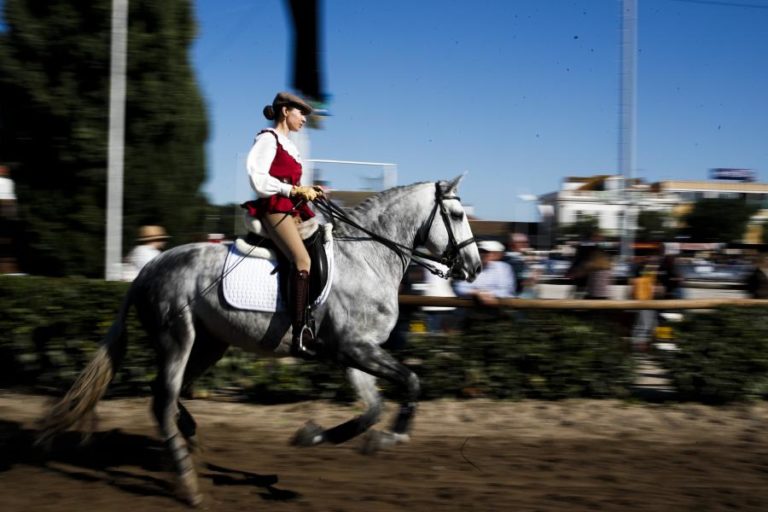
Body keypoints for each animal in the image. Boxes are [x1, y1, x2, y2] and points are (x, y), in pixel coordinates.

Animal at [37, 175, 482, 506]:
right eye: (457, 214)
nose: (475, 267)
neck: (369, 258)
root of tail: (148, 268)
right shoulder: (354, 348)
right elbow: (411, 382)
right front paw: (392, 436)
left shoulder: (354, 353)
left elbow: (373, 409)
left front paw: (317, 436)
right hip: (177, 338)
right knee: (163, 399)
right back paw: (188, 482)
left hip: (209, 344)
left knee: (172, 393)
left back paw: (189, 441)